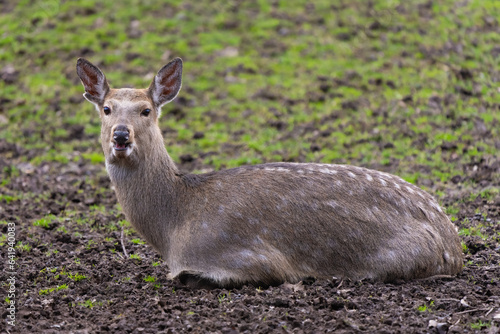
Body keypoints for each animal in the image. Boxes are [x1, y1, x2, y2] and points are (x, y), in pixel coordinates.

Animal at [76, 57, 462, 288]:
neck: (173, 228)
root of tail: (454, 246)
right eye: (107, 108)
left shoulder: (248, 256)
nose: (121, 136)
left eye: (146, 110)